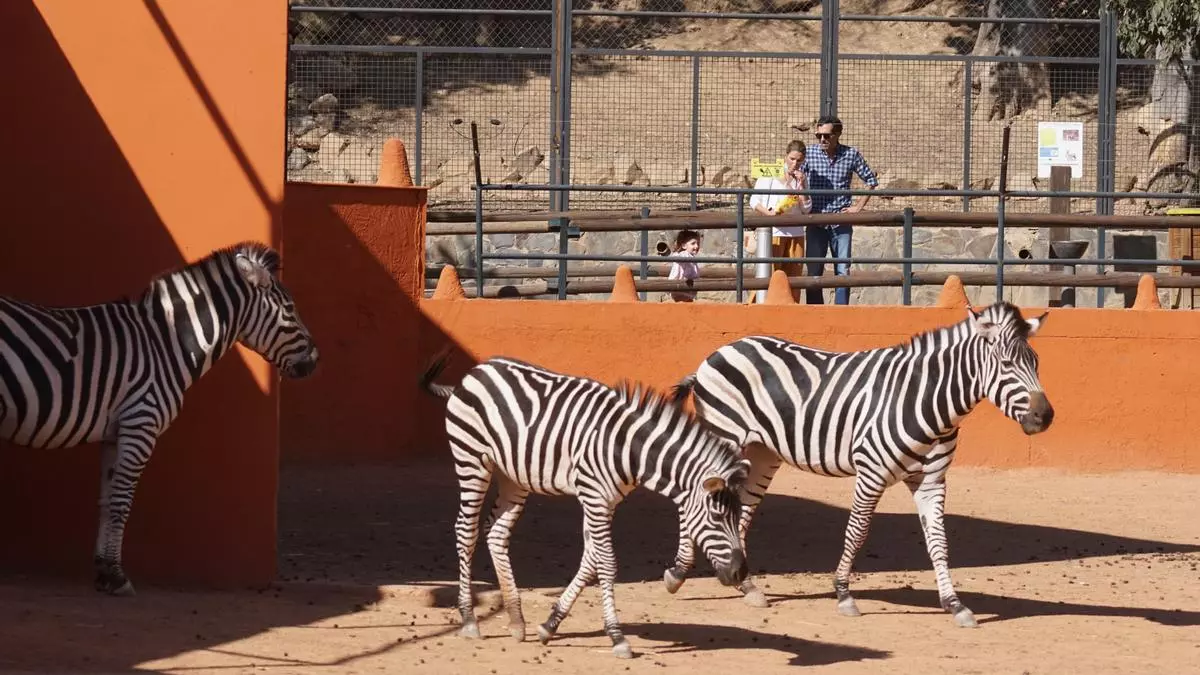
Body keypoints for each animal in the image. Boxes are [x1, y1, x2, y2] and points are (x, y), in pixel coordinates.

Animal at [0, 241, 319, 597]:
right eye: (289, 309)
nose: (315, 361)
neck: (166, 344)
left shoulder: (115, 433)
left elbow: (106, 501)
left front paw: (103, 571)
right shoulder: (141, 423)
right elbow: (122, 502)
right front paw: (117, 576)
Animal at [420, 352, 752, 659]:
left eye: (737, 516)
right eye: (717, 517)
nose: (740, 573)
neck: (628, 449)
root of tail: (474, 372)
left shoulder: (607, 501)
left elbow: (590, 560)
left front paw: (550, 625)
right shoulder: (594, 497)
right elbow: (607, 563)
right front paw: (617, 637)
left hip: (513, 476)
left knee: (497, 534)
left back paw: (516, 620)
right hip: (471, 460)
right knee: (466, 531)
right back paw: (469, 619)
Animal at [663, 301, 1054, 628]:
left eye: (1036, 362)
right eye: (1006, 365)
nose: (1045, 416)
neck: (926, 401)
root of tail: (723, 349)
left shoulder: (931, 481)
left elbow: (939, 540)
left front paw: (954, 604)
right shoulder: (871, 472)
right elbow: (857, 531)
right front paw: (844, 594)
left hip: (762, 452)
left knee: (742, 508)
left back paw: (747, 586)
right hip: (723, 435)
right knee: (693, 498)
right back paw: (678, 573)